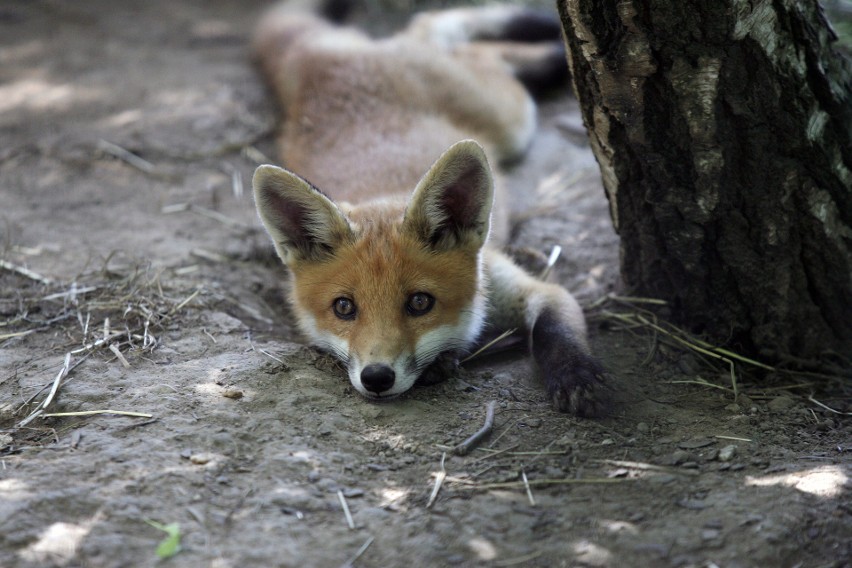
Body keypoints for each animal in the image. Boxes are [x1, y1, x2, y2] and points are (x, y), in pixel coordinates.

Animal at [251, 1, 604, 418]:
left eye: (420, 302)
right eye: (344, 307)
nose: (376, 378)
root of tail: (318, 61)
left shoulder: (520, 284)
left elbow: (554, 325)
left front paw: (576, 373)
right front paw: (443, 361)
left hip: (510, 117)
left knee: (458, 40)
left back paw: (550, 43)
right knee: (441, 33)